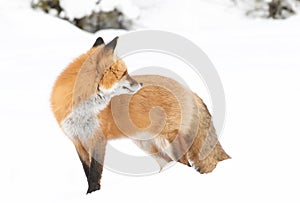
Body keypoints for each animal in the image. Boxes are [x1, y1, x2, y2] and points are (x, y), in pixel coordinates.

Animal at [51, 36, 230, 193]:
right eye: (124, 73)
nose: (141, 84)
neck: (82, 108)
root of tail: (190, 91)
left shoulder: (98, 139)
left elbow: (95, 174)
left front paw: (93, 194)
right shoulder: (77, 140)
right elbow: (87, 172)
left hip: (170, 142)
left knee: (185, 165)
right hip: (148, 145)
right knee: (169, 163)